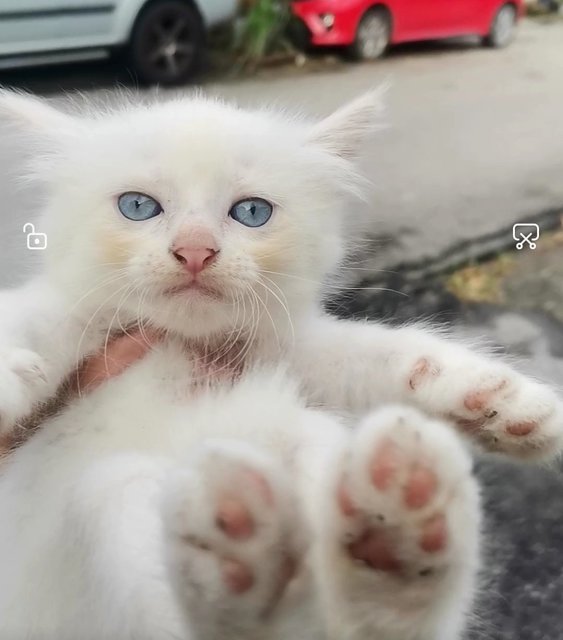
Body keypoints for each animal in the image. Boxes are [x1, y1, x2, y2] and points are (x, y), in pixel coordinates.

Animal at [0, 90, 560, 640]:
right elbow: (28, 319)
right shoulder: (70, 315)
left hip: (305, 439)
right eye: (137, 206)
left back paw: (394, 542)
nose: (195, 250)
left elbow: (373, 353)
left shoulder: (287, 348)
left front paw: (498, 399)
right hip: (100, 505)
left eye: (252, 212)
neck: (185, 342)